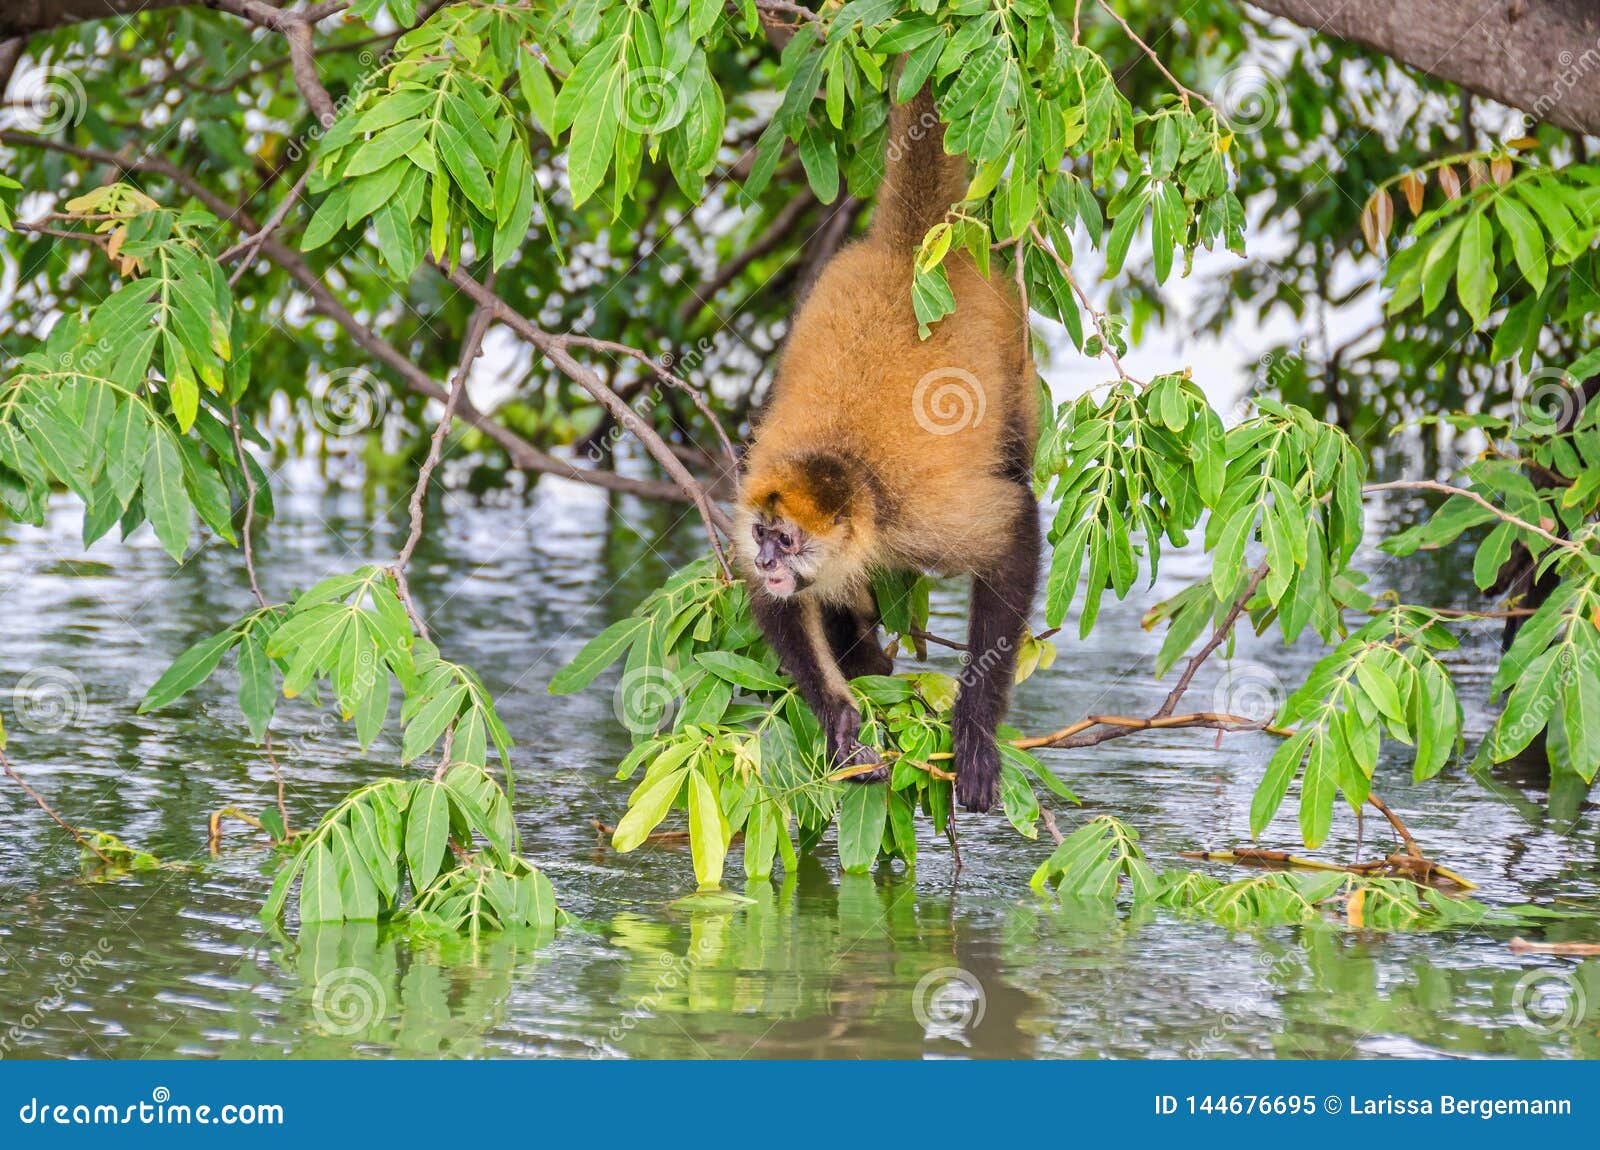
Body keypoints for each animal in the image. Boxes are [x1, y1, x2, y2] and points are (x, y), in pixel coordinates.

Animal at [732, 85, 1036, 815]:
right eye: (761, 535)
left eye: (786, 541)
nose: (768, 558)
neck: (849, 467)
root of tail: (906, 252)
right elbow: (773, 601)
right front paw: (841, 715)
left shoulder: (915, 515)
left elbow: (1013, 528)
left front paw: (974, 727)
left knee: (1017, 463)